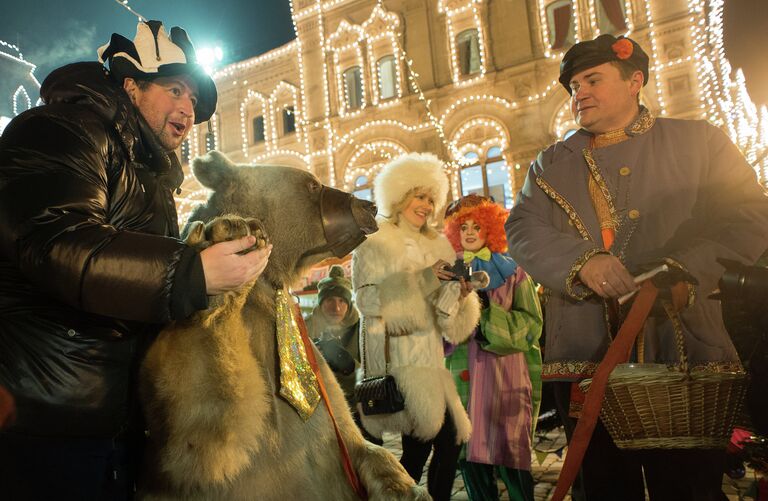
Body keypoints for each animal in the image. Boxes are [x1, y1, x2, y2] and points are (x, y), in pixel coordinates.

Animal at [137, 149, 426, 500]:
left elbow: (356, 440)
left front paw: (406, 486)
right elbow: (199, 424)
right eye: (312, 184)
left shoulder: (327, 396)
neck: (272, 282)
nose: (368, 205)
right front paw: (228, 246)